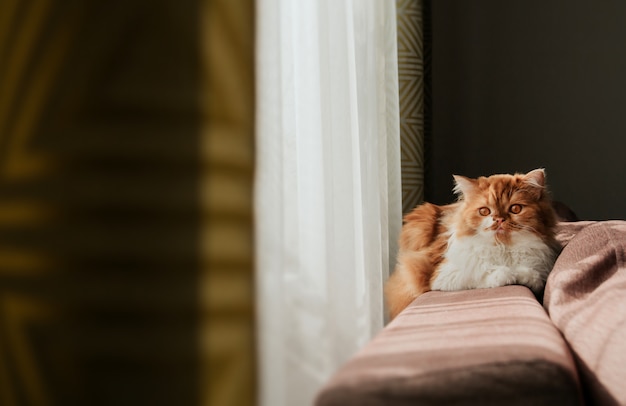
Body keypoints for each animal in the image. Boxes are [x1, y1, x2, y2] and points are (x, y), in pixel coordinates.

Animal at [386, 169, 556, 320]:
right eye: (484, 211)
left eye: (515, 209)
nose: (499, 220)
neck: (503, 246)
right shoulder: (441, 275)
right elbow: (482, 273)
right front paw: (507, 274)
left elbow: (532, 275)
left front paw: (520, 275)